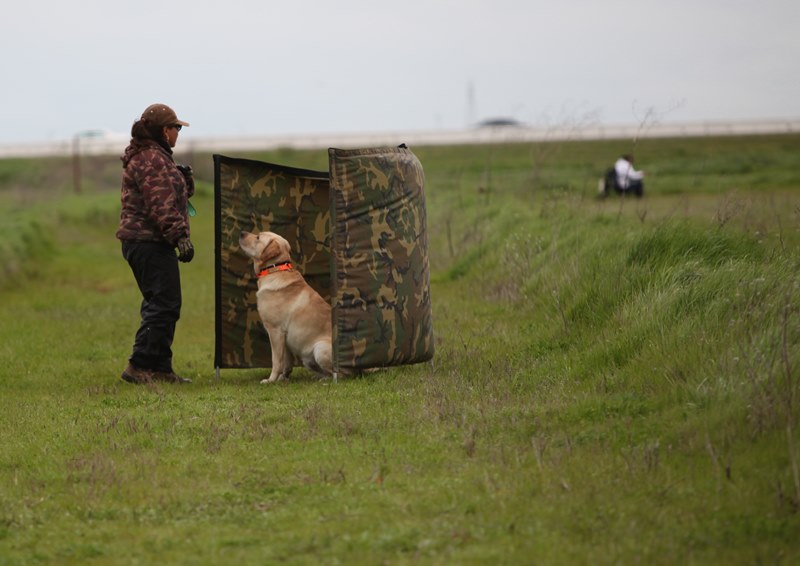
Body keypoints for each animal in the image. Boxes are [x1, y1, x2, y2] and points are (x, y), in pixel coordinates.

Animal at [241, 232, 334, 386]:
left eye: (258, 237)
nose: (242, 233)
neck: (274, 269)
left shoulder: (275, 331)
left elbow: (276, 360)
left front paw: (270, 380)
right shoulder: (284, 337)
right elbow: (286, 362)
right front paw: (282, 379)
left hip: (320, 348)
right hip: (307, 359)